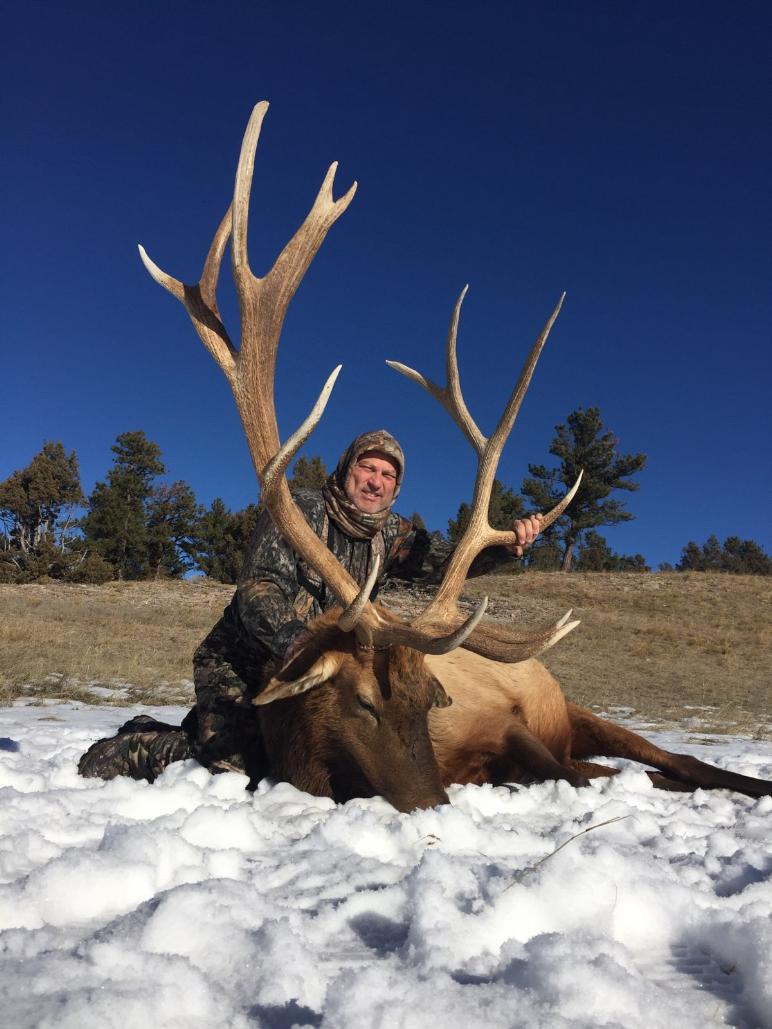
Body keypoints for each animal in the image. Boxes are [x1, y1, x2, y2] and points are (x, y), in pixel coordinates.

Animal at [139, 101, 772, 812]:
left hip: (574, 708)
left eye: (426, 702)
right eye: (363, 701)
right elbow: (577, 774)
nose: (433, 803)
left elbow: (575, 772)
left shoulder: (502, 723)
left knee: (670, 756)